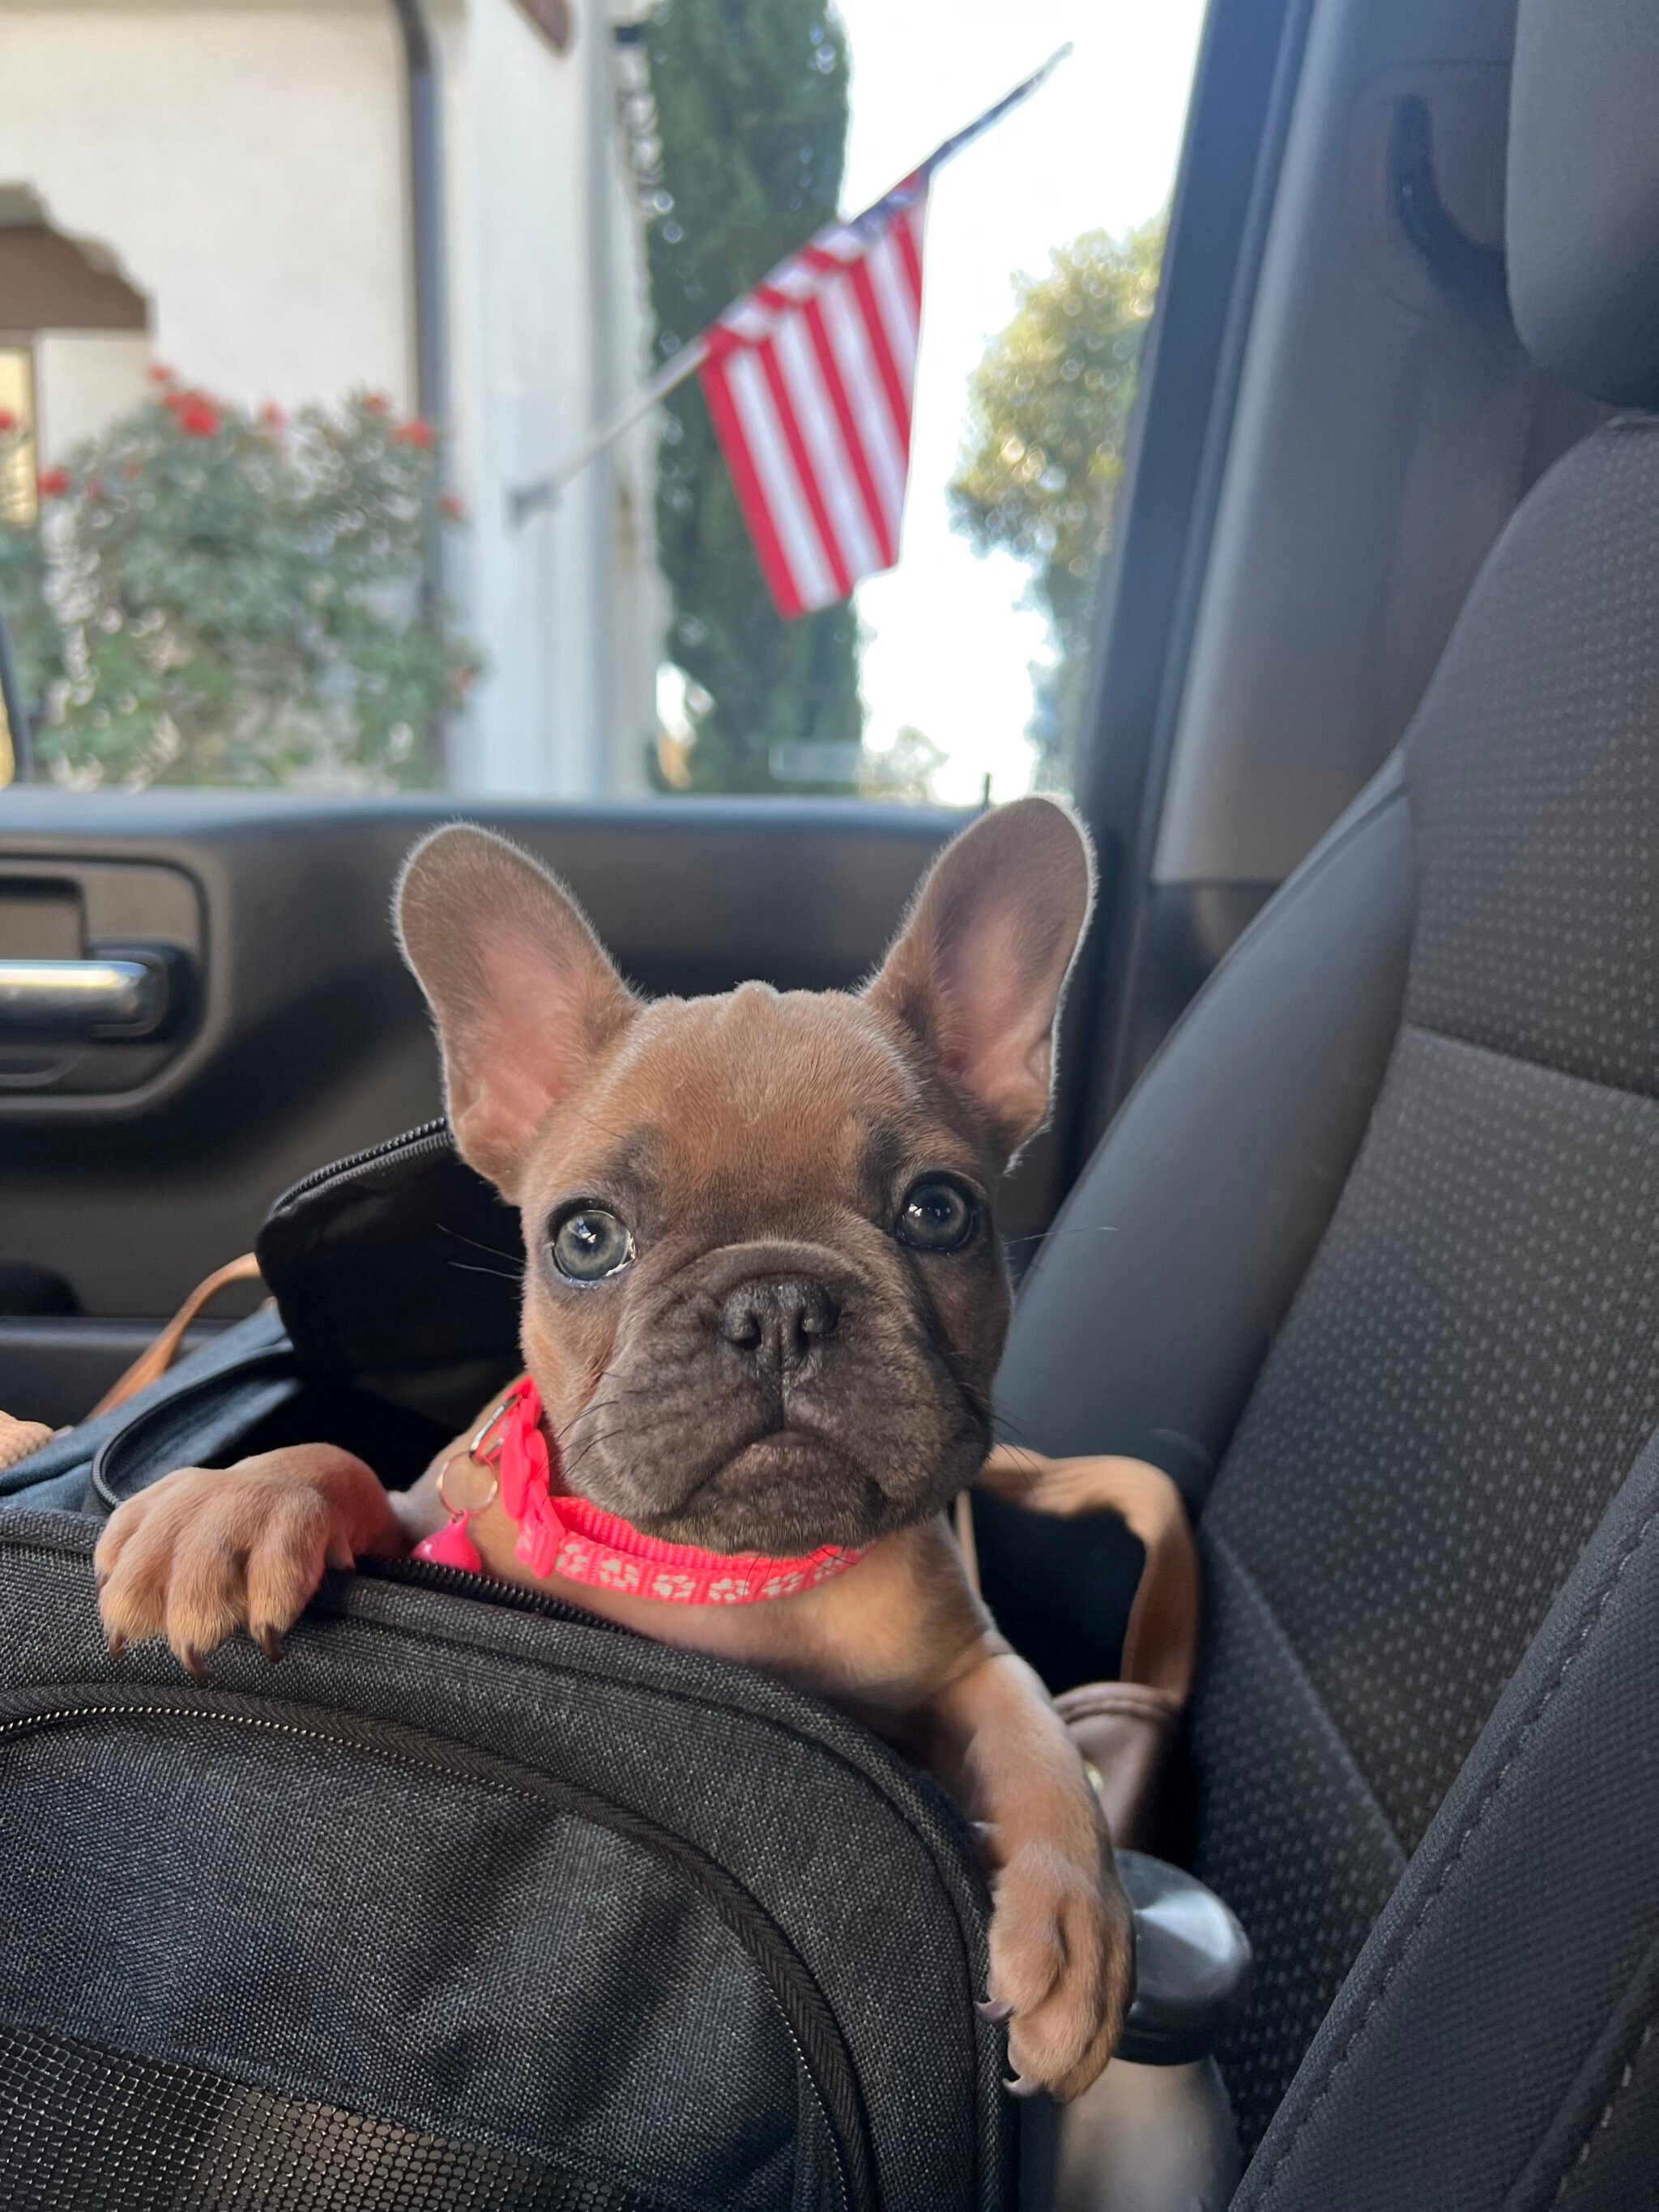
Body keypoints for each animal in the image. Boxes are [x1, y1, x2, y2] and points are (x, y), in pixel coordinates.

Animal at [97, 805, 1141, 2096]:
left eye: (940, 1211)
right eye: (585, 1238)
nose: (778, 1302)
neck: (721, 1574)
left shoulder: (964, 1658)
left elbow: (1039, 1732)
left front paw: (1081, 1924)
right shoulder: (437, 1513)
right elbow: (340, 1467)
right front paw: (231, 1506)